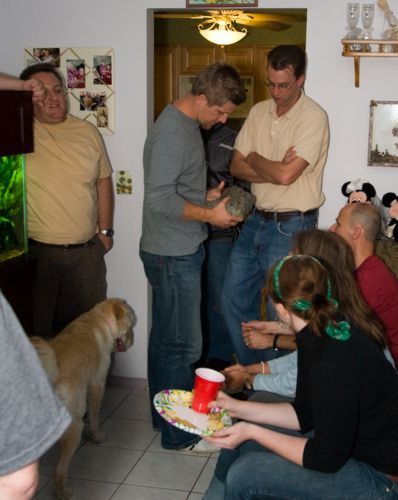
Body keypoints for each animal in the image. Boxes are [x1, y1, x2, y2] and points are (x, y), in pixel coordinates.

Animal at [30, 298, 137, 498]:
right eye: (130, 326)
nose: (132, 340)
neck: (100, 319)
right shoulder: (97, 384)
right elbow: (95, 416)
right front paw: (97, 436)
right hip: (74, 422)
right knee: (60, 469)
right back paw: (64, 492)